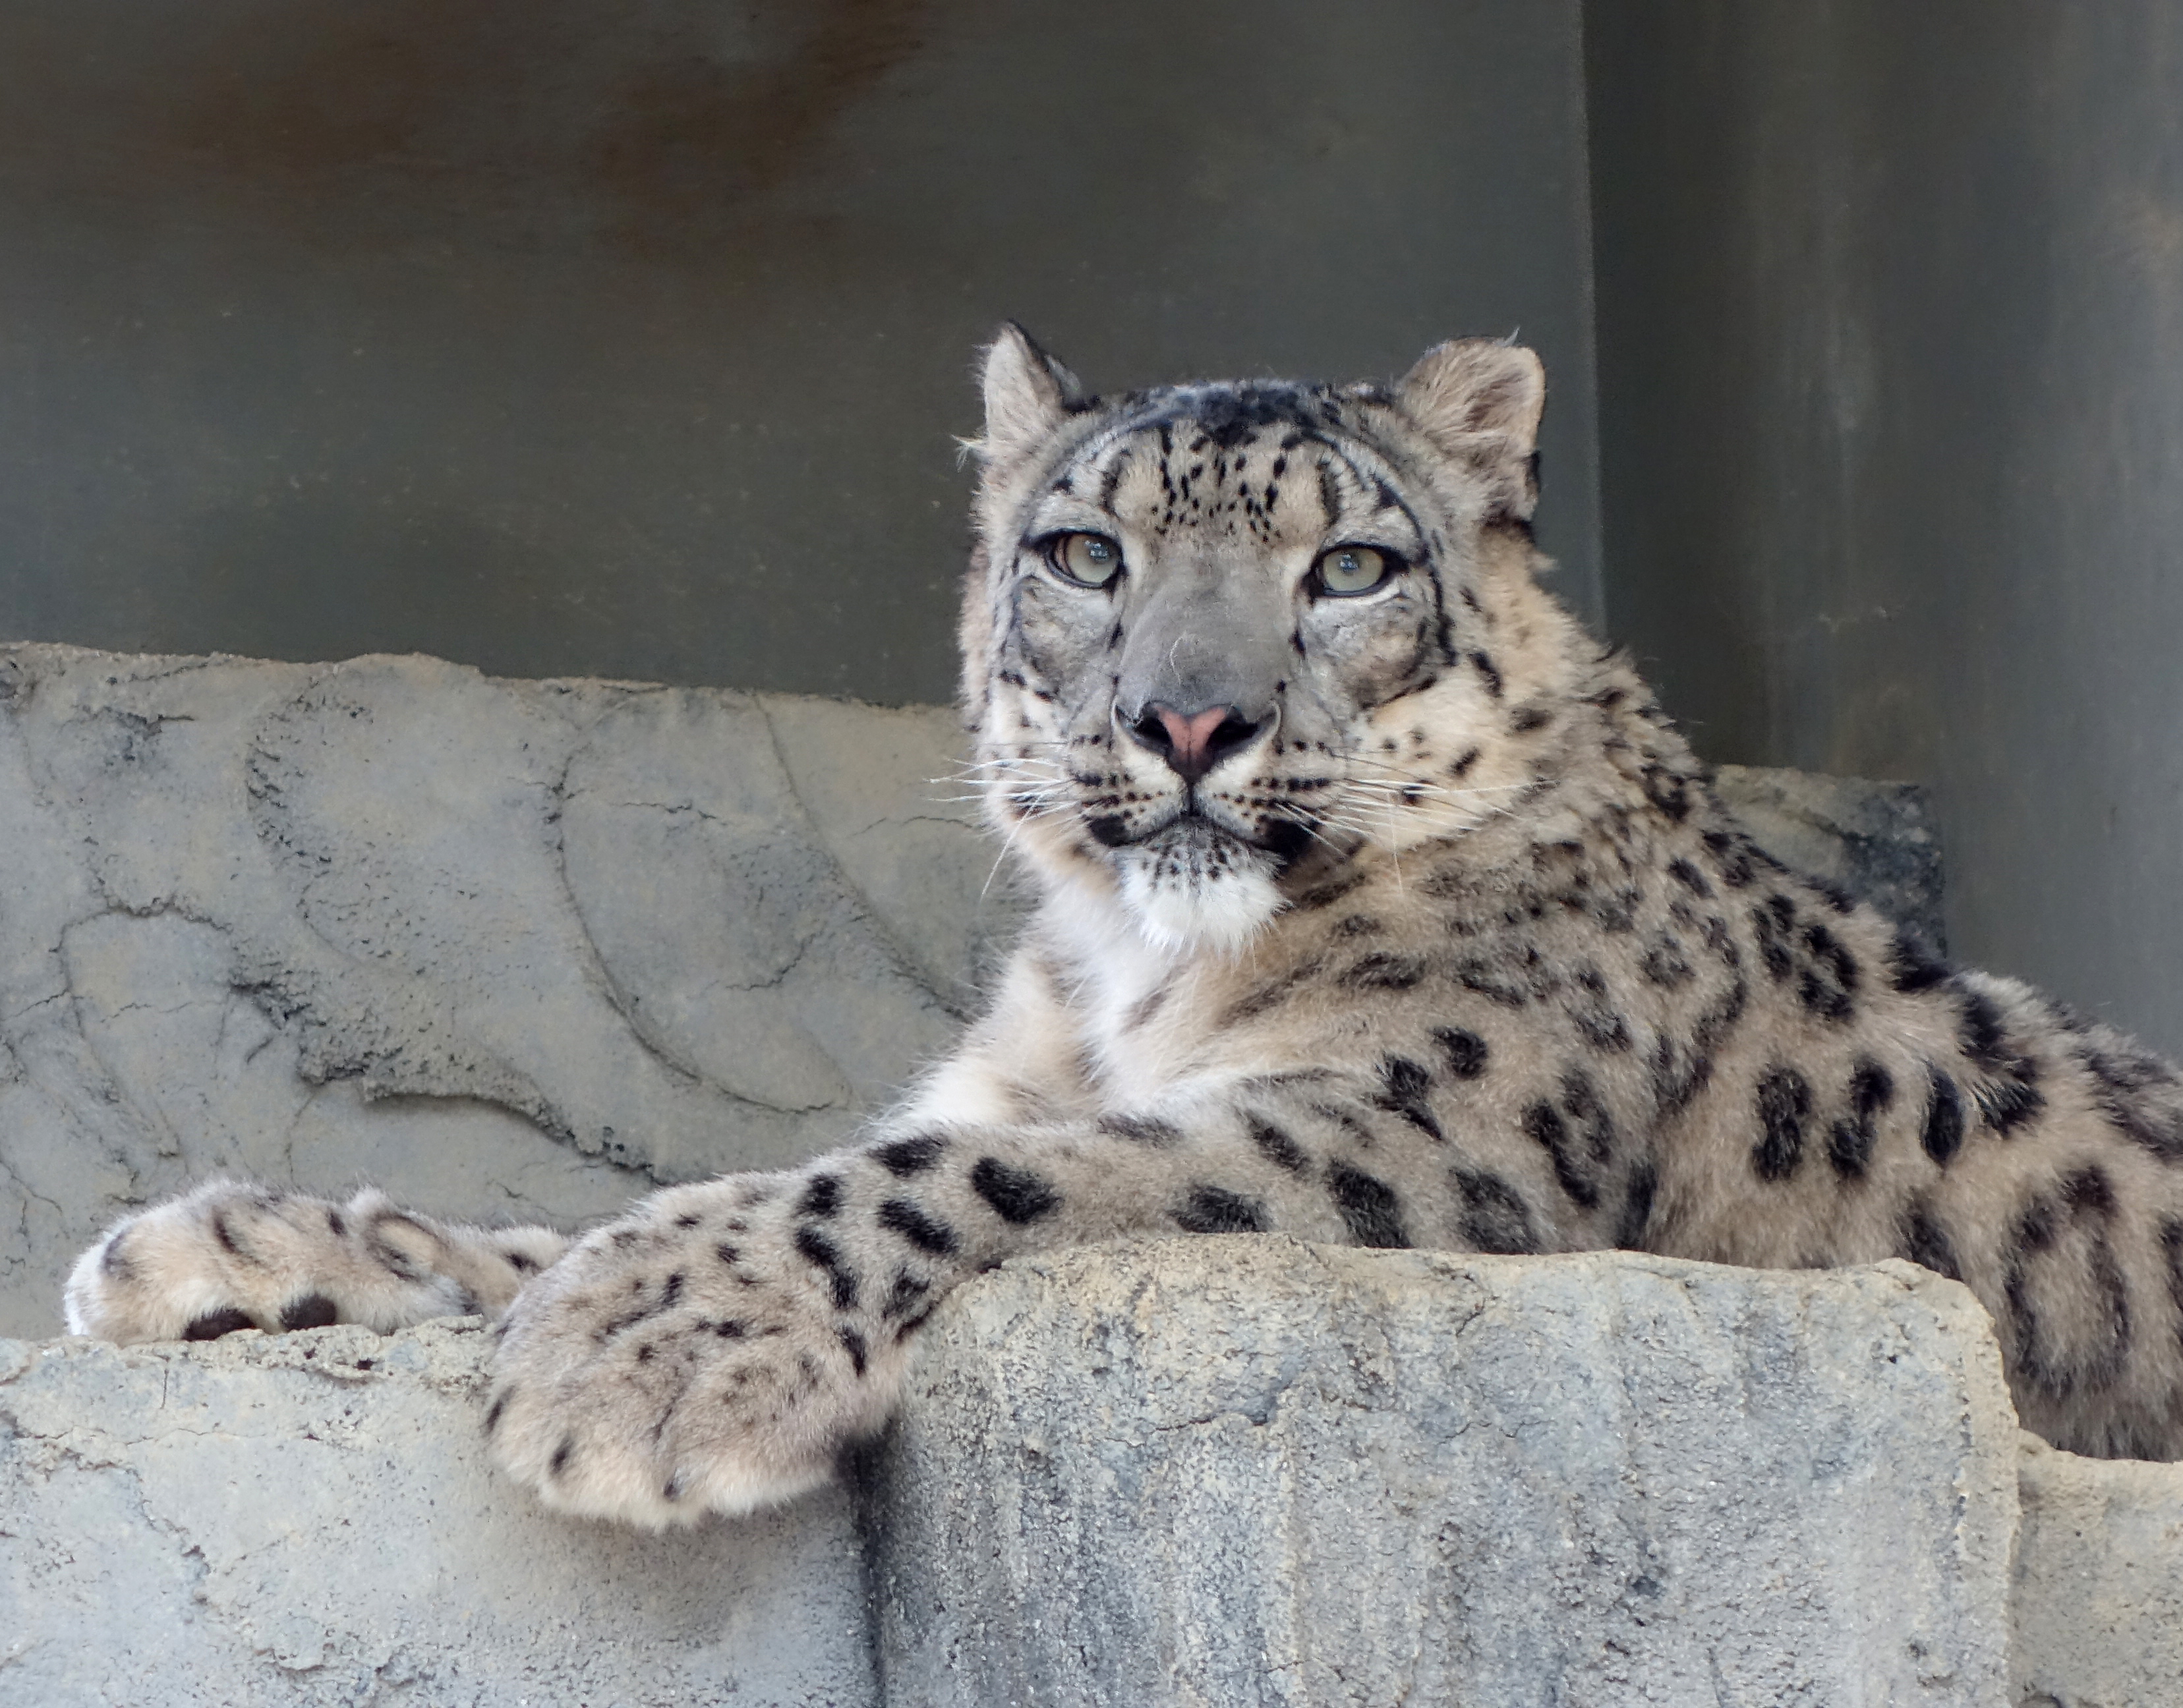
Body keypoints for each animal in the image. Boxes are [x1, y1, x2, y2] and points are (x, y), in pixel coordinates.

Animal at [59, 327, 2183, 1527]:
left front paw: (651, 1346)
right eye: (1087, 553)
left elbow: (990, 1178)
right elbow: (579, 1207)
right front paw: (235, 1251)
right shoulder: (1010, 1078)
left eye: (1350, 566)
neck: (1128, 983)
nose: (1187, 719)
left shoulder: (1420, 1132)